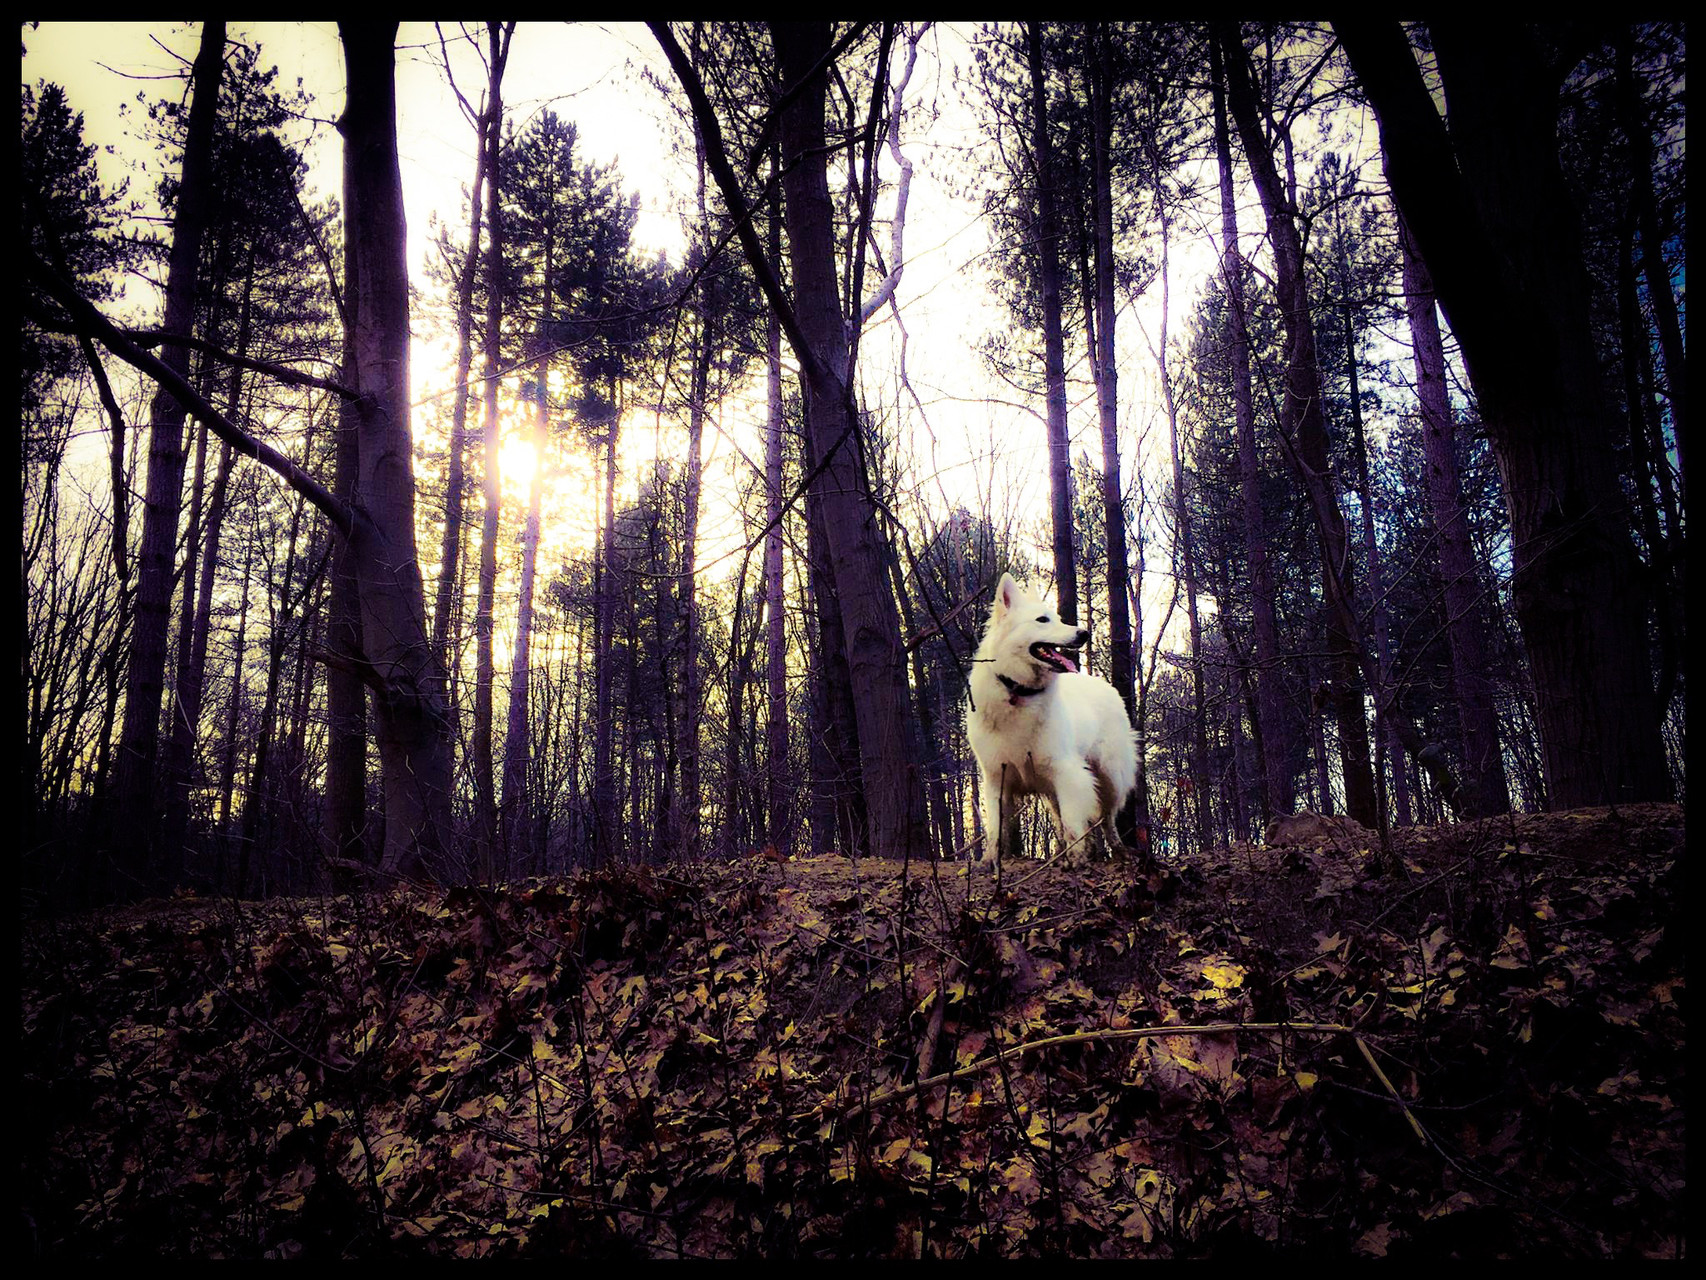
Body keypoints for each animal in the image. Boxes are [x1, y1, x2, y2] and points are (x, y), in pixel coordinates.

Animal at [969, 580, 1139, 873]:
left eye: (1058, 619)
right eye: (1042, 620)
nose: (1084, 633)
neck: (1018, 693)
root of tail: (1105, 685)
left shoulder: (1067, 772)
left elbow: (1073, 822)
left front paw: (1078, 859)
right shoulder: (995, 778)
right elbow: (995, 830)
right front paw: (989, 861)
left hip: (1110, 776)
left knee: (1106, 817)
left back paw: (1117, 850)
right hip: (1051, 790)